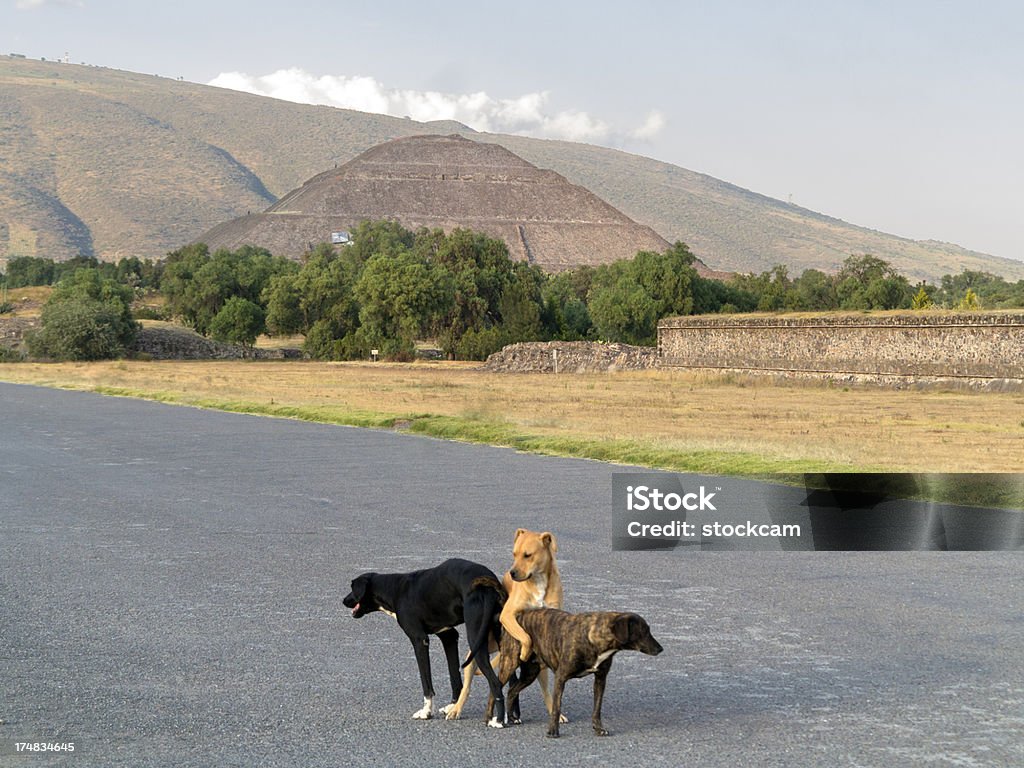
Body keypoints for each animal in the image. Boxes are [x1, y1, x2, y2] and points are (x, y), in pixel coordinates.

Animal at [344, 561, 507, 729]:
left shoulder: (419, 640)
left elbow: (426, 680)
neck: (394, 589)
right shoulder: (449, 637)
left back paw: (499, 720)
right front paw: (452, 706)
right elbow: (454, 675)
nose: (344, 600)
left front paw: (426, 712)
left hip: (476, 642)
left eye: (352, 588)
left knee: (496, 683)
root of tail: (488, 586)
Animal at [444, 528, 565, 720]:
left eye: (528, 555)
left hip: (538, 669)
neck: (538, 581)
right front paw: (524, 651)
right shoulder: (507, 616)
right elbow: (525, 637)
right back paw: (456, 709)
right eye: (514, 554)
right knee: (467, 686)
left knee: (546, 690)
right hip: (476, 654)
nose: (513, 573)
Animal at [487, 610, 663, 737]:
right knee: (494, 690)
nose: (661, 649)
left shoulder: (600, 679)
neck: (595, 636)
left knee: (512, 690)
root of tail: (514, 617)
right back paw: (489, 719)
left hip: (530, 672)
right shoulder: (561, 678)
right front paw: (553, 731)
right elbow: (556, 707)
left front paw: (598, 729)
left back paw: (512, 718)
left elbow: (597, 708)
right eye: (644, 631)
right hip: (509, 663)